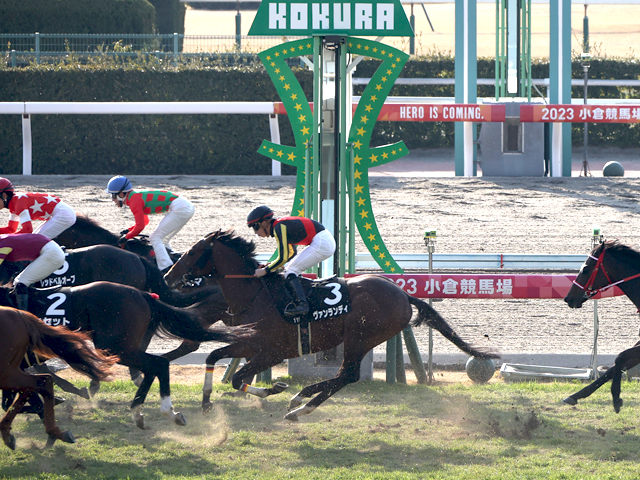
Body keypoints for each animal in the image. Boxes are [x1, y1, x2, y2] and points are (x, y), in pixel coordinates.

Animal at [0, 282, 237, 429]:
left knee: (158, 363)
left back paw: (165, 412)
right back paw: (139, 412)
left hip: (116, 346)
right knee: (152, 367)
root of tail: (143, 294)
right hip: (123, 347)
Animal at [0, 306, 117, 450]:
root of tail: (19, 314)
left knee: (42, 382)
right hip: (9, 373)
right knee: (35, 386)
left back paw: (53, 433)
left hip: (6, 373)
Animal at [165, 230, 500, 421]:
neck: (256, 294)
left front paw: (274, 388)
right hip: (361, 339)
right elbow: (215, 358)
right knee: (343, 376)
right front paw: (206, 402)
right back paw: (301, 401)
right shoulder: (249, 343)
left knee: (347, 375)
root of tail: (403, 294)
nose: (168, 276)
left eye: (193, 252)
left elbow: (239, 378)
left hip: (360, 337)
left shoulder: (272, 349)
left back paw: (301, 405)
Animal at [563, 240, 640, 412]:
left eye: (585, 268)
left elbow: (620, 357)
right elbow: (614, 366)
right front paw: (575, 395)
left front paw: (616, 398)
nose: (568, 298)